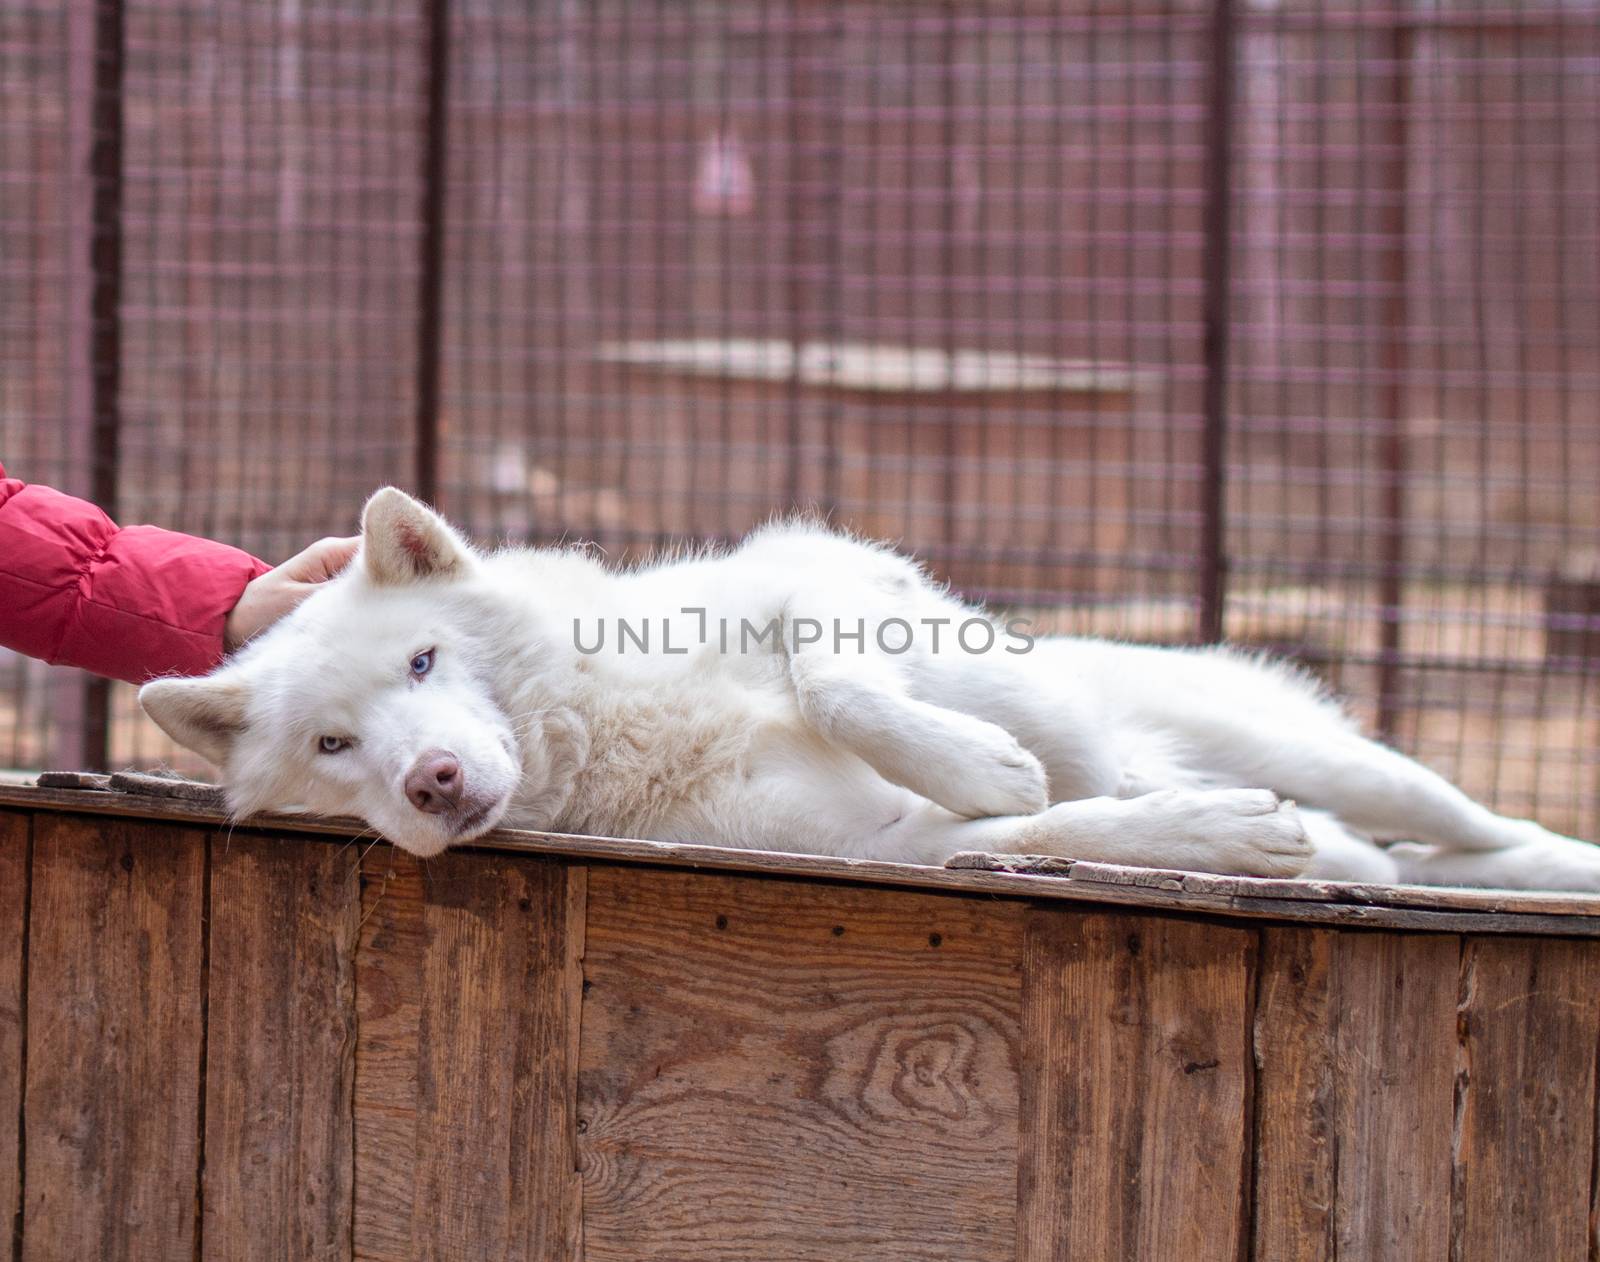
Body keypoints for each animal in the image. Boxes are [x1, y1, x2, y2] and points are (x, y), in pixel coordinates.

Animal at [140, 483, 1600, 889]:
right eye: (335, 745)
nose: (434, 779)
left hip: (1352, 761)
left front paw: (984, 756)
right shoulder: (877, 846)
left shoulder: (822, 574)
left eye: (425, 660)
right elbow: (1034, 825)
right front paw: (1208, 835)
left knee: (1490, 827)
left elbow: (841, 675)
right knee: (1403, 858)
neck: (616, 730)